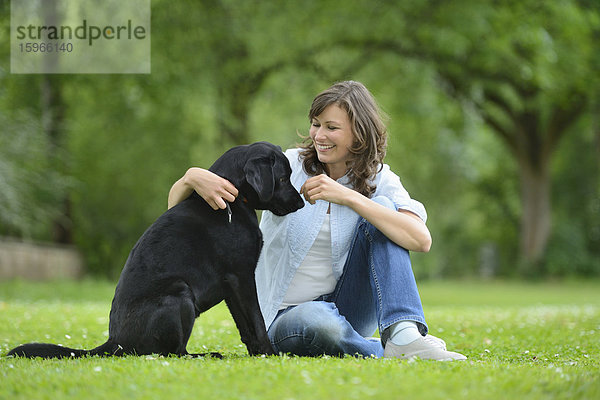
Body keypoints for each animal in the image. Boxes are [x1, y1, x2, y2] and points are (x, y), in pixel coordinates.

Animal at [10, 141, 304, 360]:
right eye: (282, 177)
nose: (301, 203)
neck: (233, 200)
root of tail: (114, 342)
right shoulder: (241, 276)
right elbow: (257, 320)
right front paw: (269, 353)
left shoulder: (232, 285)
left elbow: (246, 326)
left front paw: (257, 353)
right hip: (179, 294)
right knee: (173, 352)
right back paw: (206, 354)